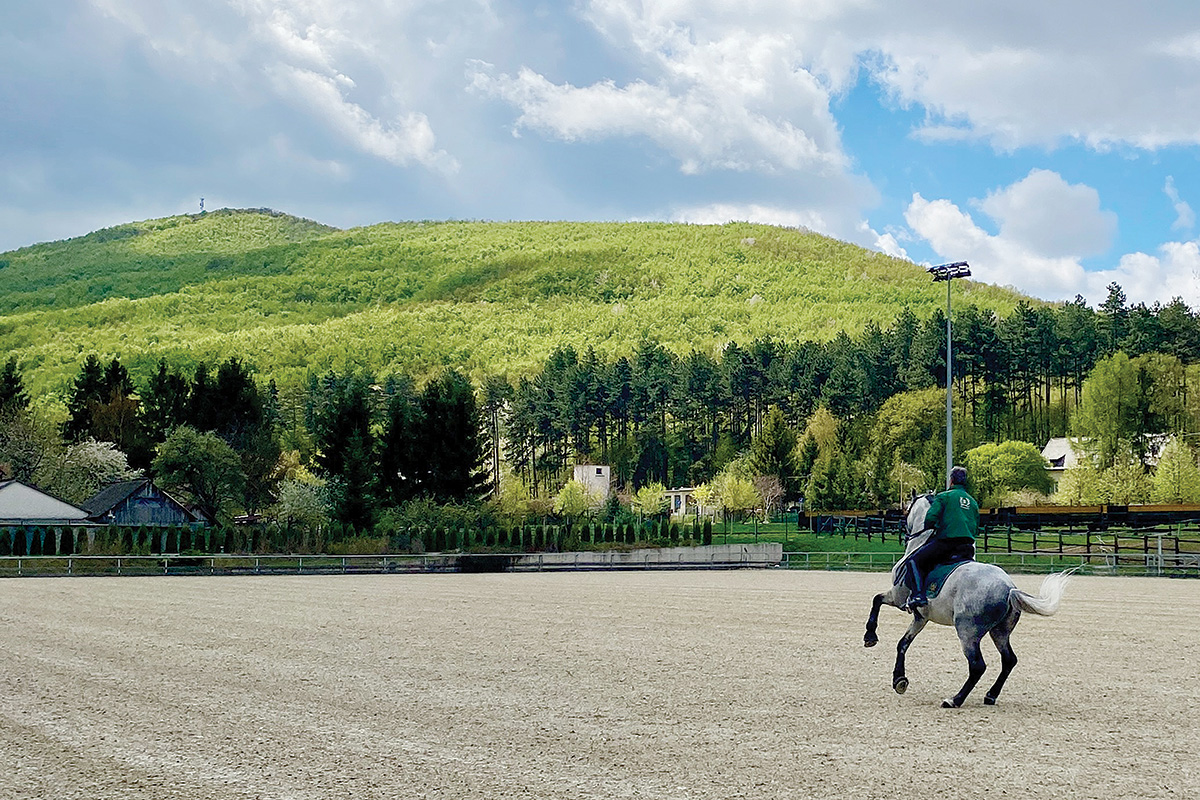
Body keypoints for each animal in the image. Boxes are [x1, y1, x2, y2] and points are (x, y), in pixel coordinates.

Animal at [859, 496, 1075, 710]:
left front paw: (870, 636)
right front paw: (899, 680)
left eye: (907, 510)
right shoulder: (921, 618)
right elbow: (902, 643)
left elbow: (876, 600)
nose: (903, 532)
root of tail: (1008, 589)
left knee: (978, 666)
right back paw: (990, 695)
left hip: (967, 631)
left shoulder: (897, 597)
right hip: (999, 632)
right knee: (1008, 660)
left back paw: (955, 699)